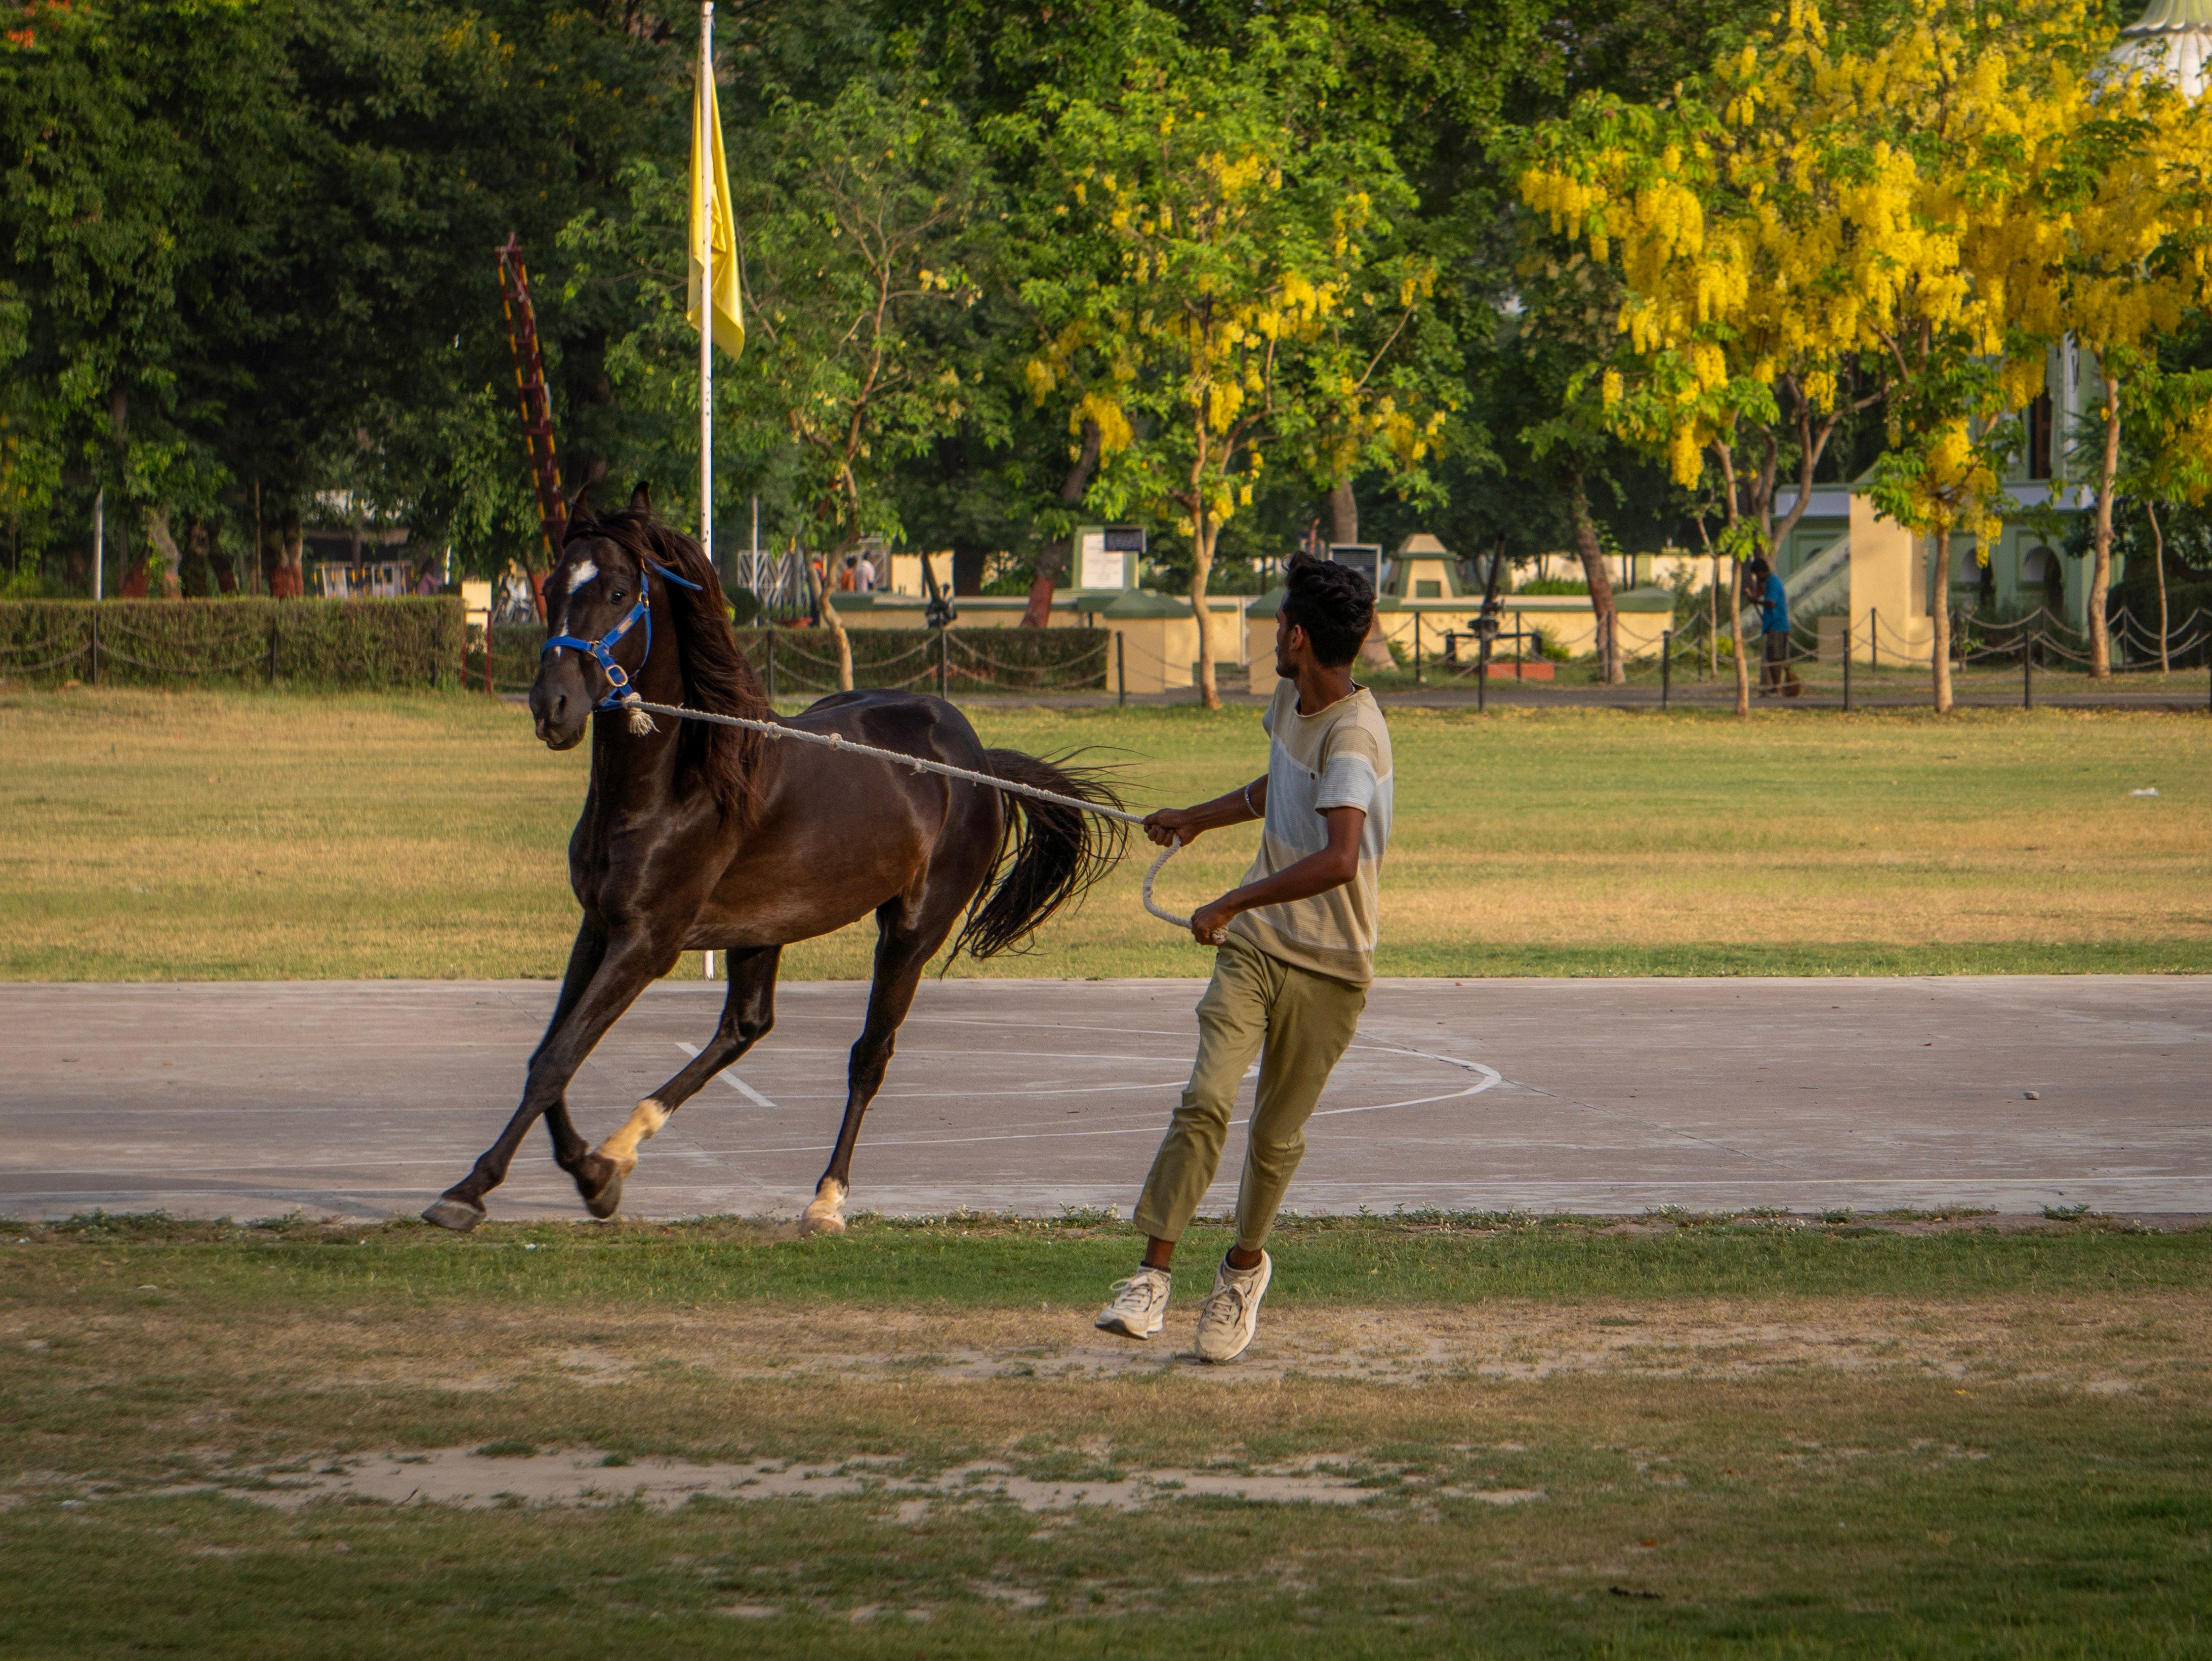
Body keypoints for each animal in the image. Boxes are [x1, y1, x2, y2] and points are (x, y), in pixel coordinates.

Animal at [421, 486, 1123, 1235]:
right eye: (551, 587)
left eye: (616, 591)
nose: (551, 706)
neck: (682, 782)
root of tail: (977, 759)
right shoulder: (600, 927)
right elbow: (552, 1053)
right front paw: (589, 1172)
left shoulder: (647, 941)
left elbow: (559, 1057)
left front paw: (476, 1188)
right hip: (761, 929)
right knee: (745, 1026)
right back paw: (621, 1147)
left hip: (911, 930)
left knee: (868, 1056)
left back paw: (827, 1198)